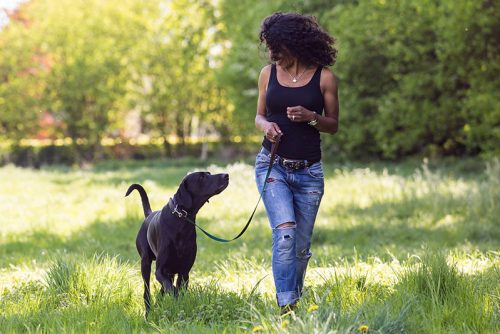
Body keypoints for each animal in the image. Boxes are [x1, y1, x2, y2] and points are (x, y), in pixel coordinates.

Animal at [125, 172, 229, 316]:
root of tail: (149, 215)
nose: (226, 175)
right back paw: (148, 313)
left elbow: (177, 290)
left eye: (208, 173)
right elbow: (173, 290)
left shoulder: (184, 272)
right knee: (147, 292)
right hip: (145, 263)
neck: (181, 220)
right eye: (202, 177)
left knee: (162, 291)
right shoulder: (160, 271)